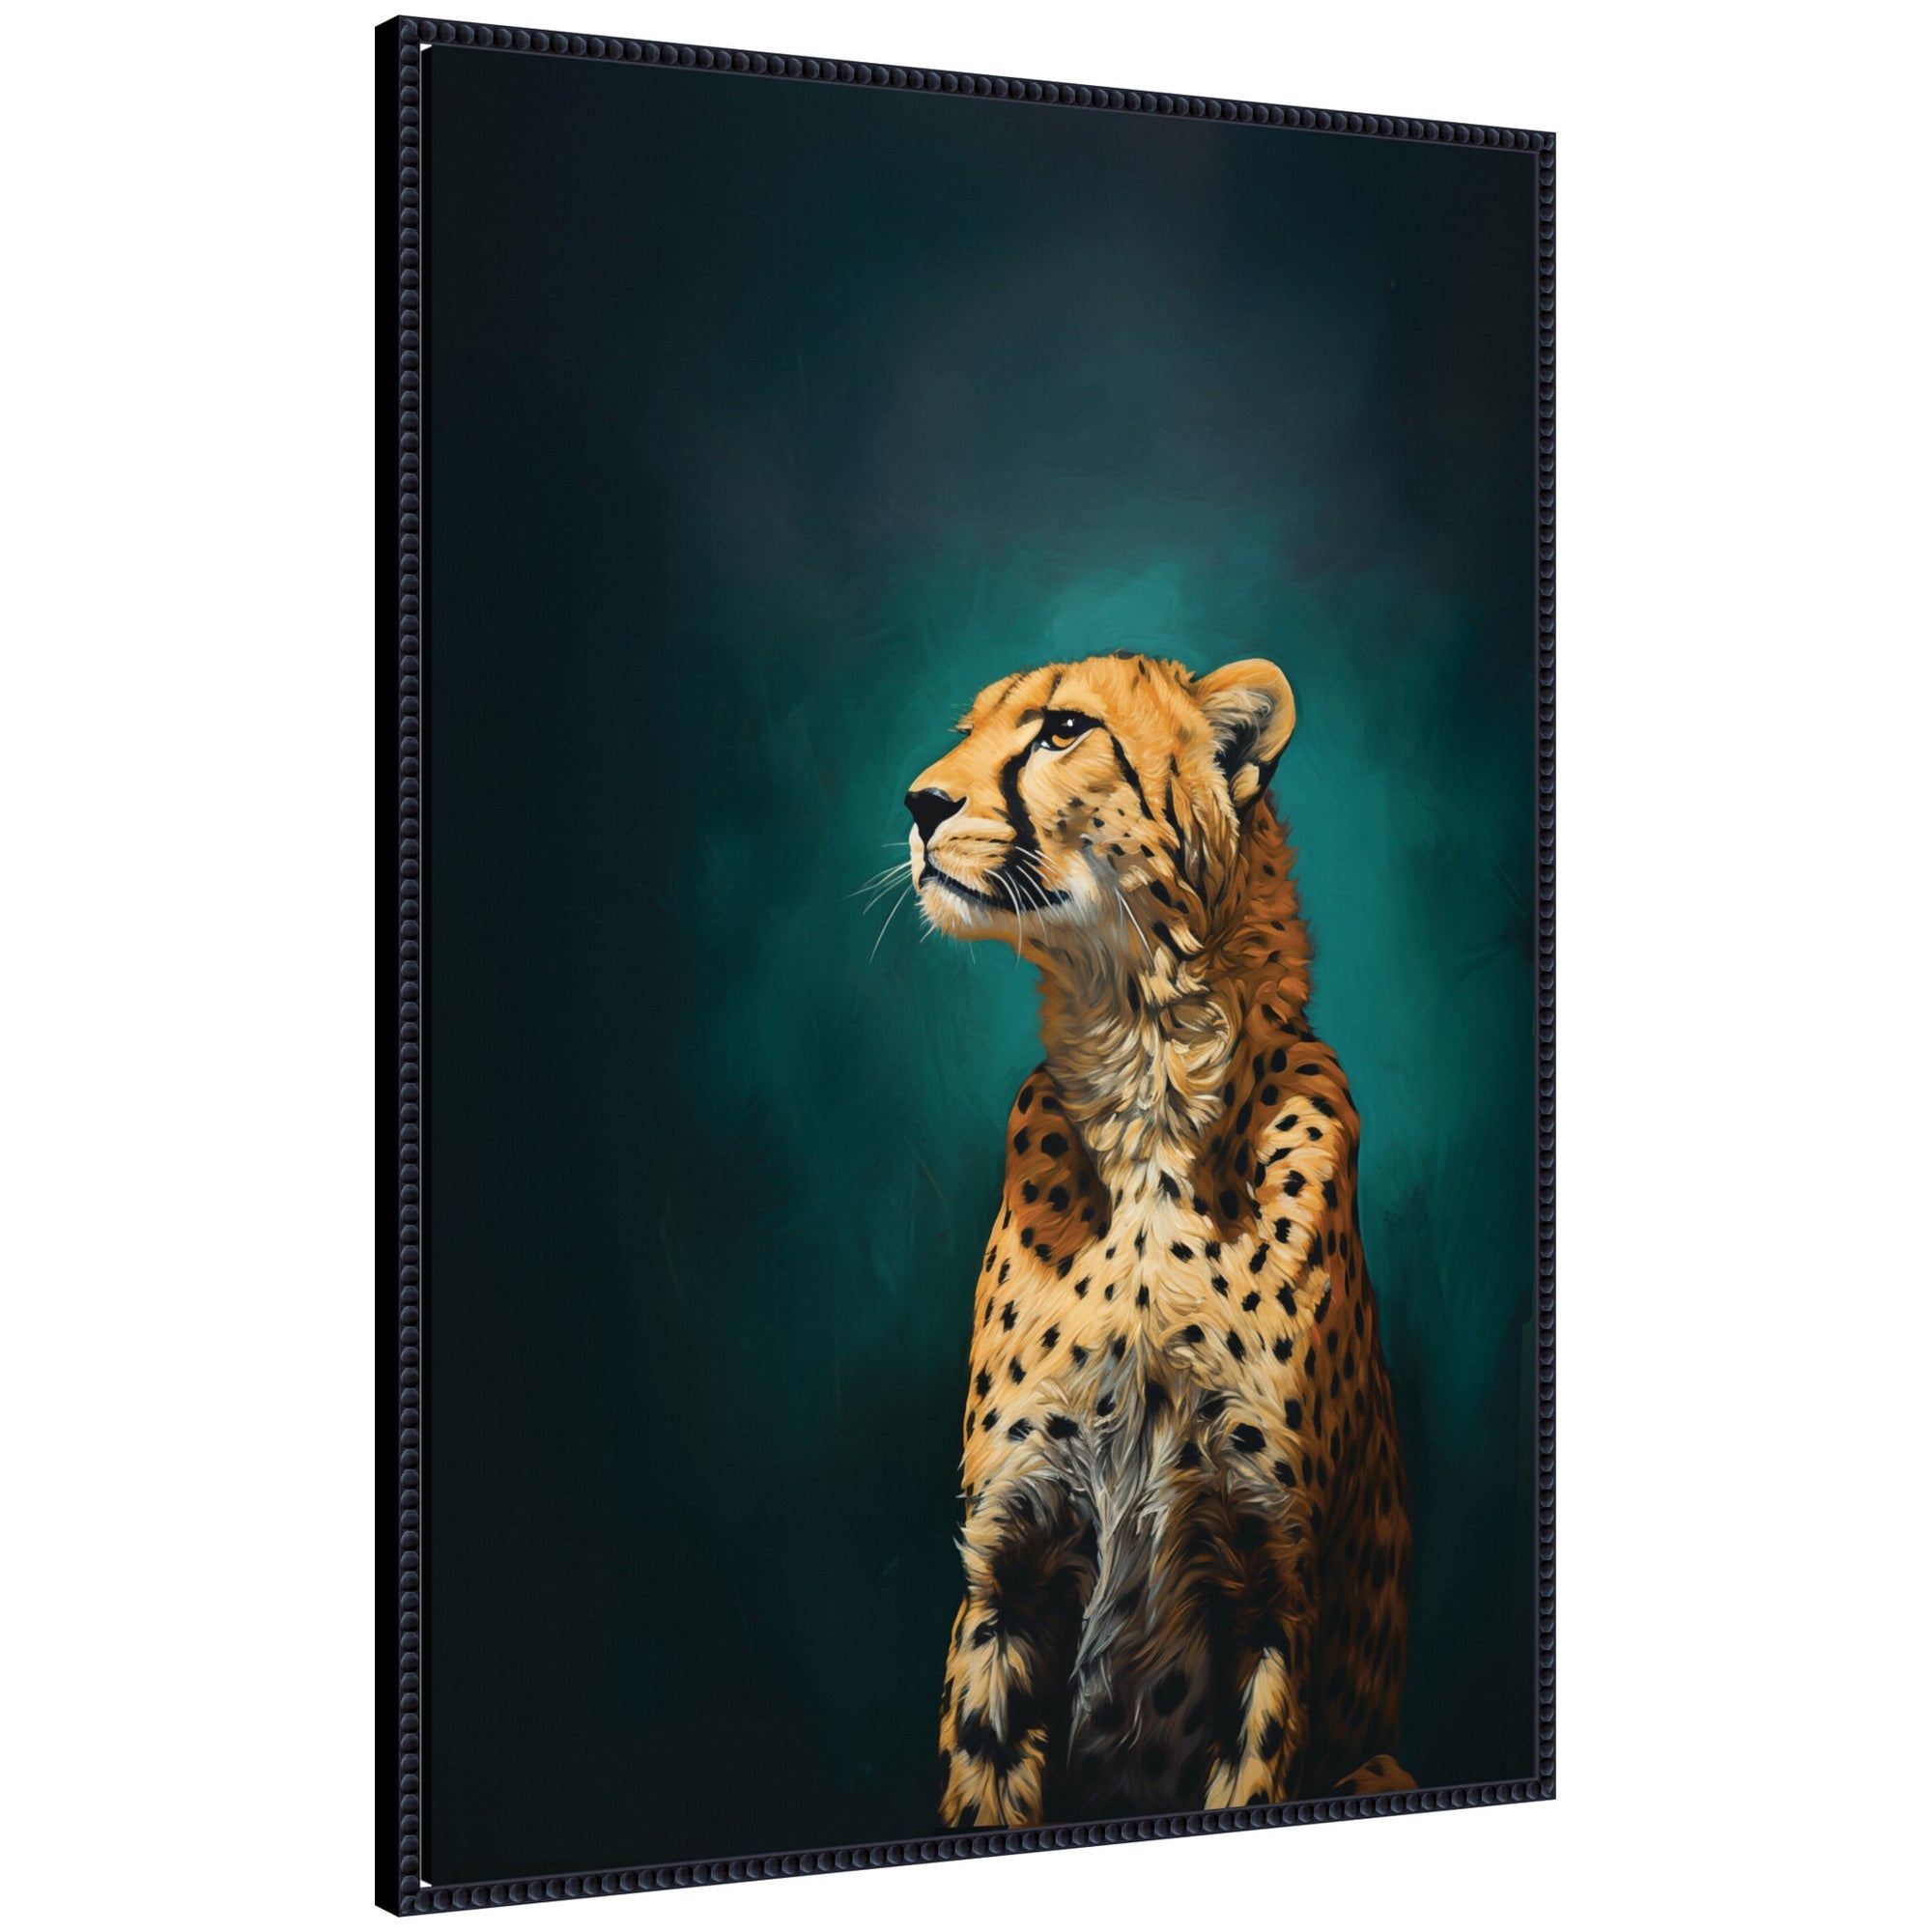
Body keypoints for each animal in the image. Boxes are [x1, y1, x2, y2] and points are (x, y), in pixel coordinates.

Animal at [906, 650, 1414, 1829]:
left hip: (1380, 1764)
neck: (1146, 1076)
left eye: (1062, 730)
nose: (919, 803)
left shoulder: (1274, 1595)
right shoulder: (1006, 1571)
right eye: (967, 731)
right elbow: (979, 1778)